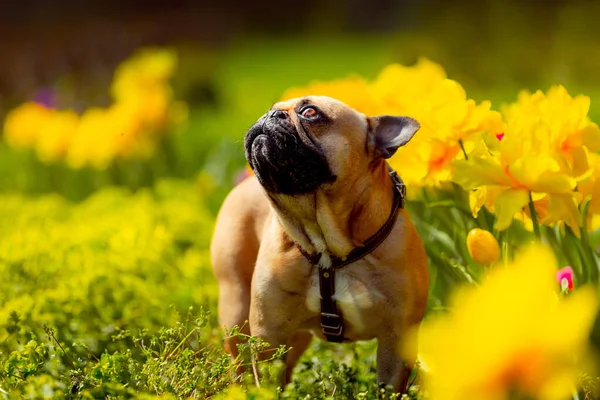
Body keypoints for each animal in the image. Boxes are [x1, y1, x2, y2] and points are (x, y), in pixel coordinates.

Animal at [210, 97, 426, 394]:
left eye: (310, 112)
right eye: (271, 109)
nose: (270, 115)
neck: (329, 248)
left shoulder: (397, 338)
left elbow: (388, 387)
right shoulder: (269, 334)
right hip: (236, 309)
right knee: (240, 365)